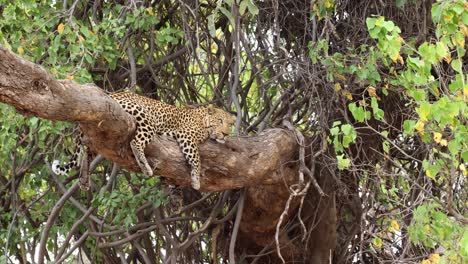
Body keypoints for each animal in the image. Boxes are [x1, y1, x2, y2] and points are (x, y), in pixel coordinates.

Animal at [53, 91, 236, 190]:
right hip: (145, 117)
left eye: (230, 124)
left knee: (87, 150)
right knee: (135, 143)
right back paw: (146, 167)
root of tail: (111, 94)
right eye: (220, 121)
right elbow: (196, 159)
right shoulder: (186, 135)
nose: (226, 134)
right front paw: (196, 180)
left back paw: (84, 179)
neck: (204, 120)